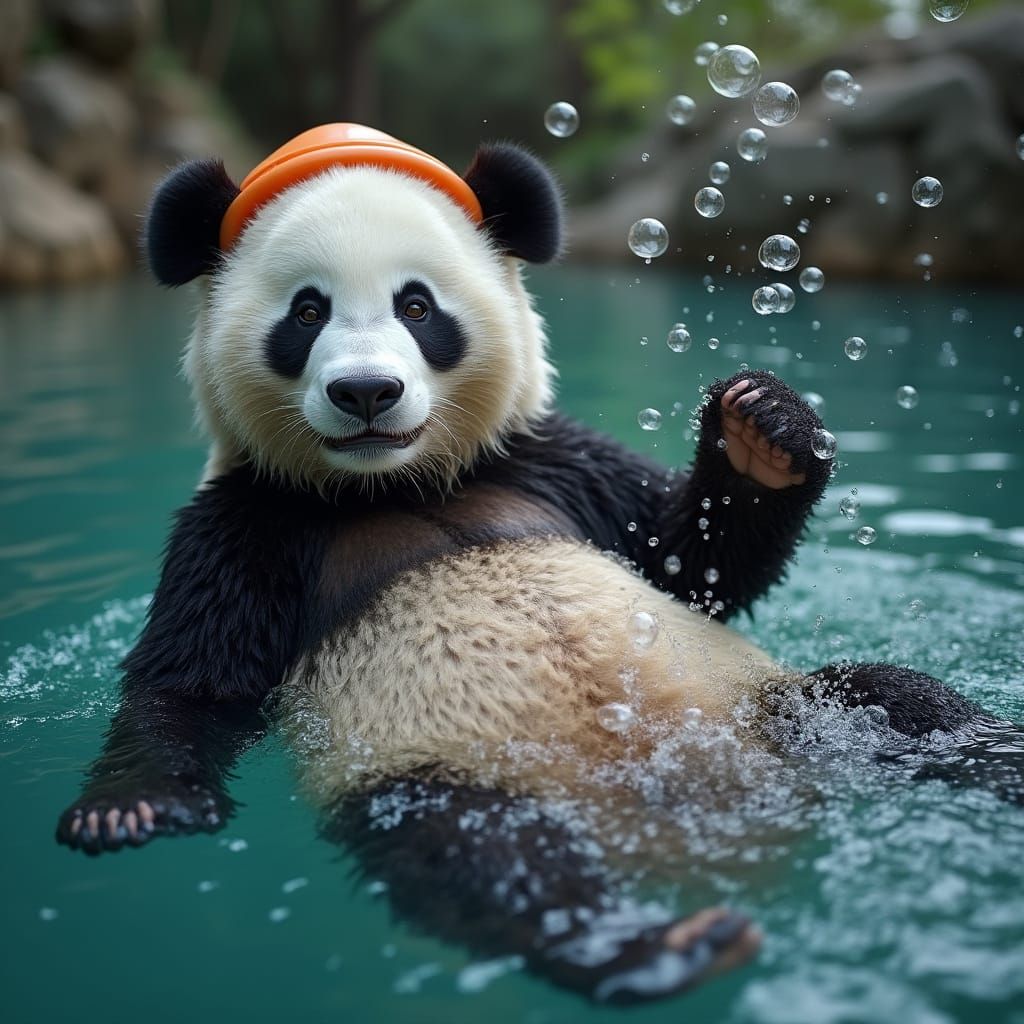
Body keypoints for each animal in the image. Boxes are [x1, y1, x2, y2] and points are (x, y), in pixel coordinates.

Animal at [55, 124, 1016, 1005]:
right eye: (306, 313)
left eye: (417, 307)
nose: (366, 392)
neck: (392, 485)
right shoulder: (246, 523)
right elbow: (192, 684)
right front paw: (131, 806)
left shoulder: (546, 461)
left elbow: (693, 563)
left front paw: (763, 430)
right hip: (432, 766)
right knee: (480, 855)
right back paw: (651, 950)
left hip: (760, 705)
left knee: (895, 702)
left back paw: (996, 761)